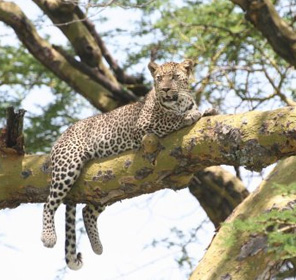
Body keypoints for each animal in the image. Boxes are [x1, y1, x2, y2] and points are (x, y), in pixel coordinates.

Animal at [41, 58, 204, 270]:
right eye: (159, 78)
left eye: (175, 77)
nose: (166, 89)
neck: (180, 101)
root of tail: (60, 138)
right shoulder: (145, 124)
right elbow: (171, 119)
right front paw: (191, 115)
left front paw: (202, 110)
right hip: (67, 165)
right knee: (49, 203)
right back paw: (48, 237)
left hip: (108, 188)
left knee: (86, 211)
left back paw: (97, 246)